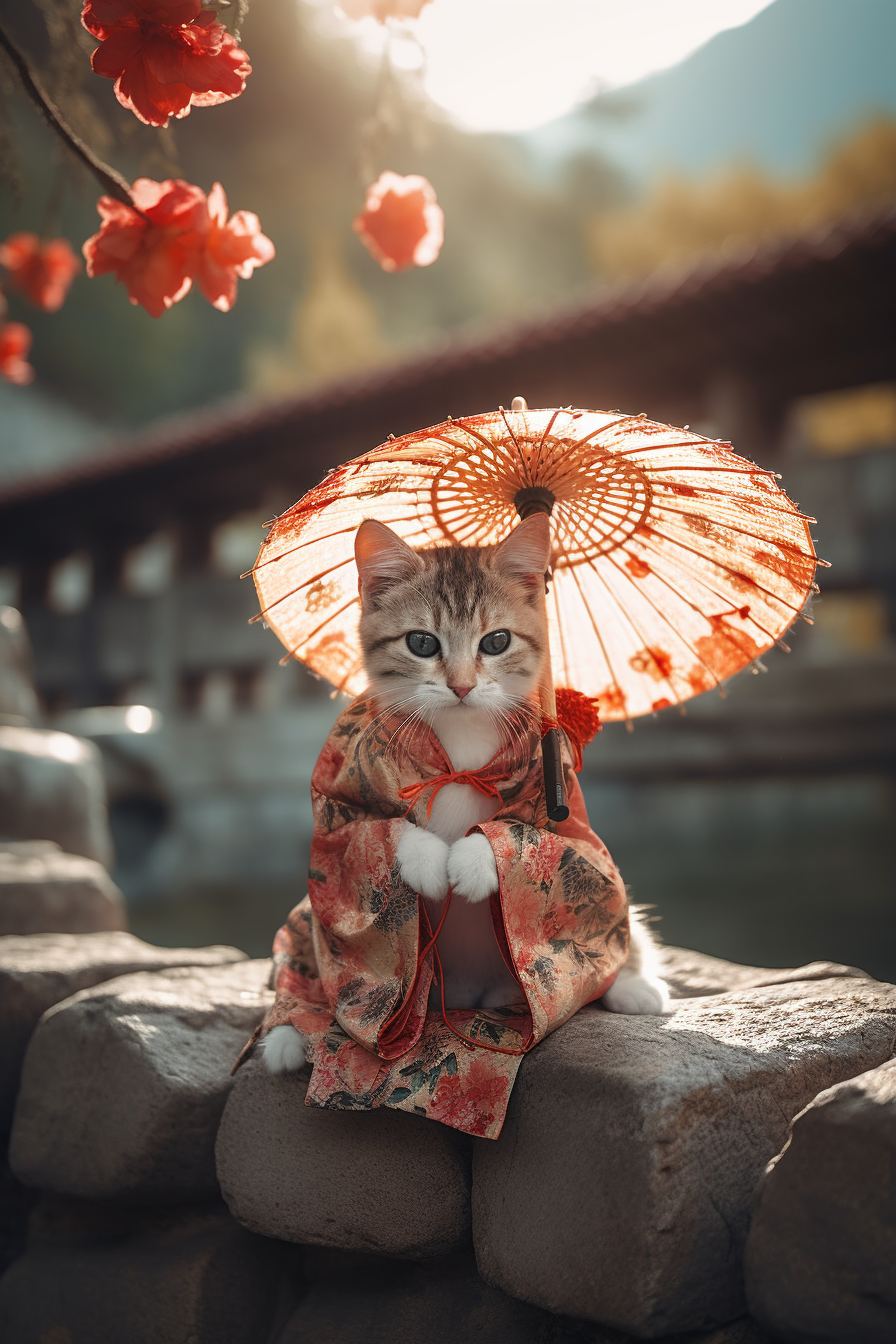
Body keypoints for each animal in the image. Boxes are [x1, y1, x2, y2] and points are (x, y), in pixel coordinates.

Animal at [263, 513, 668, 1069]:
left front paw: (475, 861)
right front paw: (428, 861)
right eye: (422, 643)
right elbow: (355, 838)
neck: (459, 749)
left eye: (496, 642)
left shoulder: (562, 798)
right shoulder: (341, 787)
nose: (460, 686)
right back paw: (288, 1031)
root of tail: (471, 995)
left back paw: (631, 985)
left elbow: (564, 848)